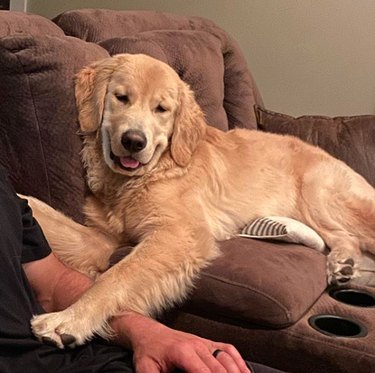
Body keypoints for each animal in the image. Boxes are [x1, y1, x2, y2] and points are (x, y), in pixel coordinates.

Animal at [30, 53, 375, 348]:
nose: (133, 141)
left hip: (319, 193)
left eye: (161, 109)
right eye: (121, 97)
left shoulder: (179, 234)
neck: (143, 176)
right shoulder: (102, 239)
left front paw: (69, 320)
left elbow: (117, 275)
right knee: (345, 239)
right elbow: (43, 213)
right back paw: (343, 266)